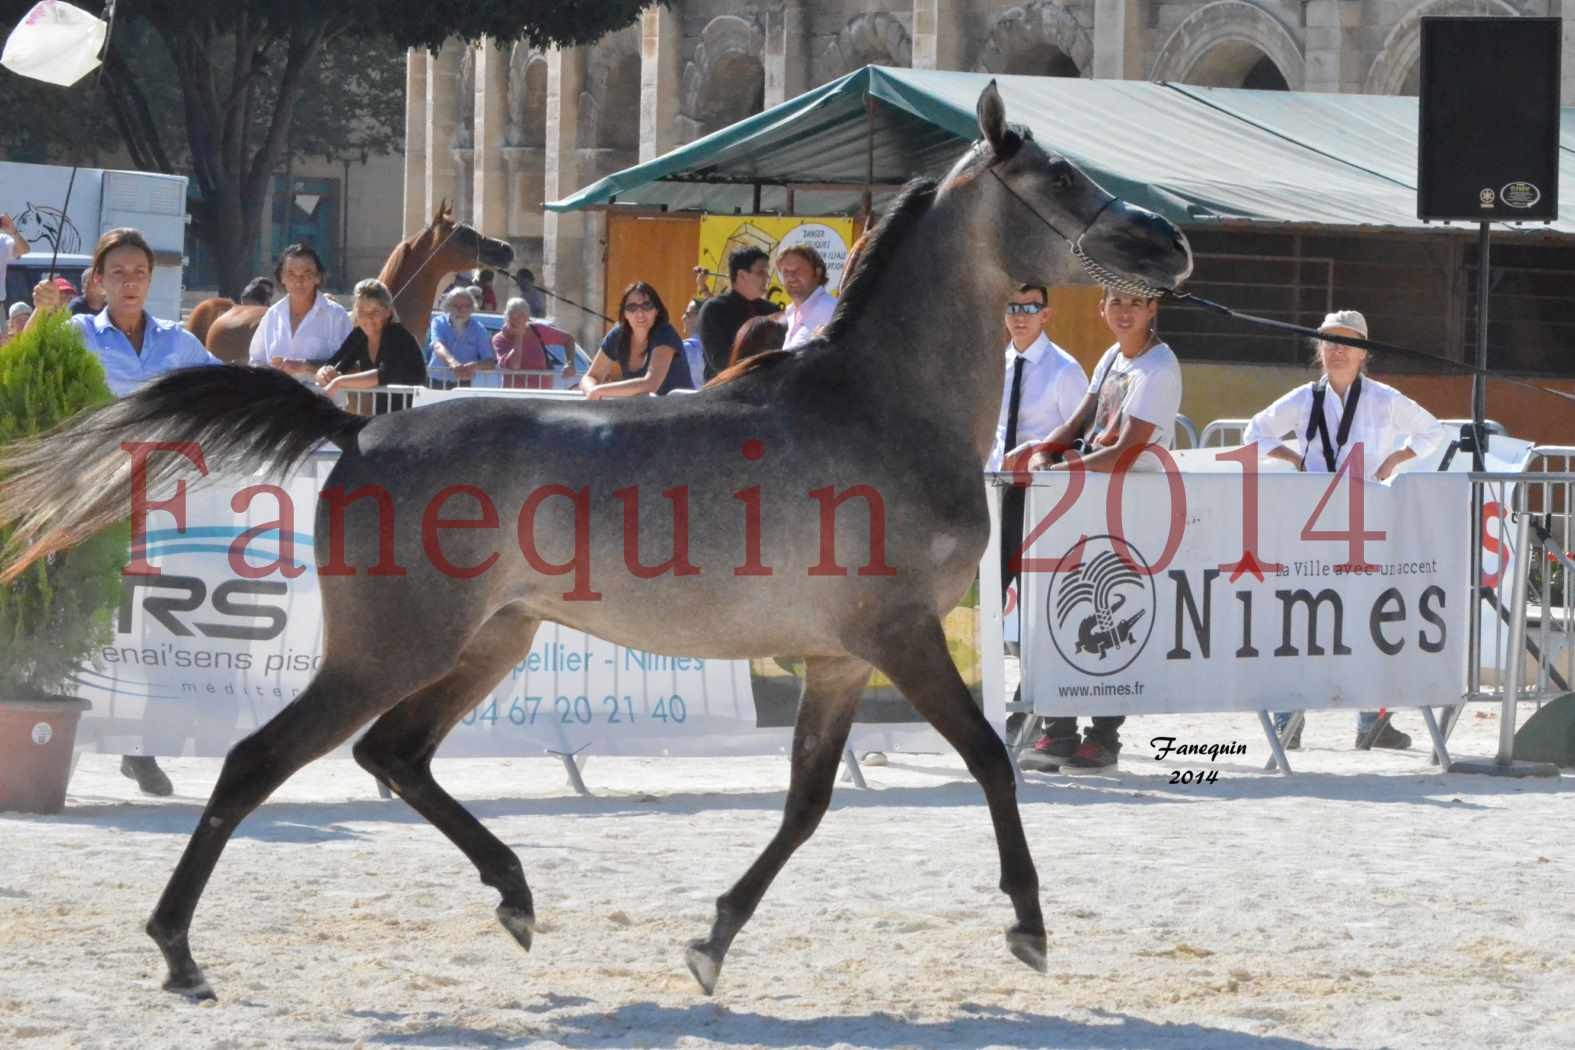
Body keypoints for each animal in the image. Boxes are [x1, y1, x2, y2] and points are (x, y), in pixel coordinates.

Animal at [0, 82, 1184, 1001]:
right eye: (1063, 179)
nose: (1168, 243)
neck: (881, 405)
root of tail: (361, 427)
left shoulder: (841, 659)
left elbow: (806, 806)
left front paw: (711, 942)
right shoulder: (899, 638)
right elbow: (989, 759)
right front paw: (1028, 928)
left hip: (495, 641)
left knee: (396, 756)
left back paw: (516, 896)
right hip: (389, 650)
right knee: (262, 762)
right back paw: (178, 952)